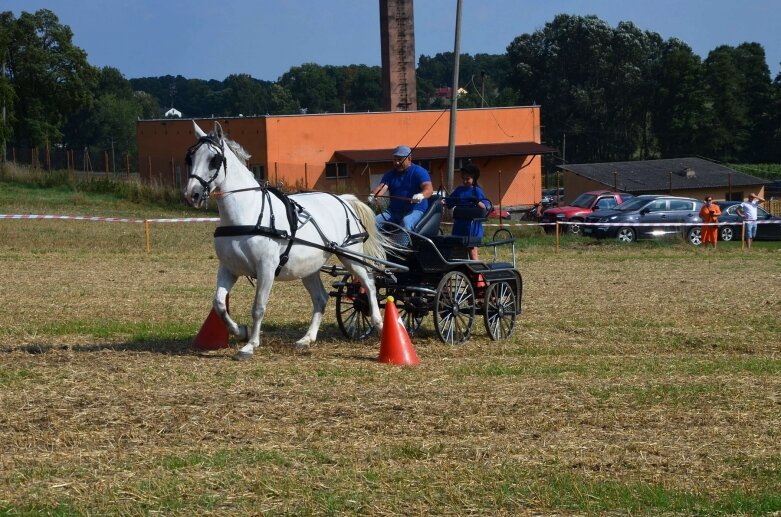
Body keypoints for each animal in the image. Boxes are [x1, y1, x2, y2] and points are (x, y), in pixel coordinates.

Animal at [184, 121, 390, 358]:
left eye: (214, 159)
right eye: (190, 157)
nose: (192, 194)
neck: (248, 212)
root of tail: (342, 199)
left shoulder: (266, 268)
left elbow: (258, 307)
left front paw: (250, 345)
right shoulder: (229, 268)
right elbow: (219, 304)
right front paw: (241, 331)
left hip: (351, 256)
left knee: (369, 284)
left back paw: (379, 324)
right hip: (309, 267)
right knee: (321, 298)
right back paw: (307, 339)